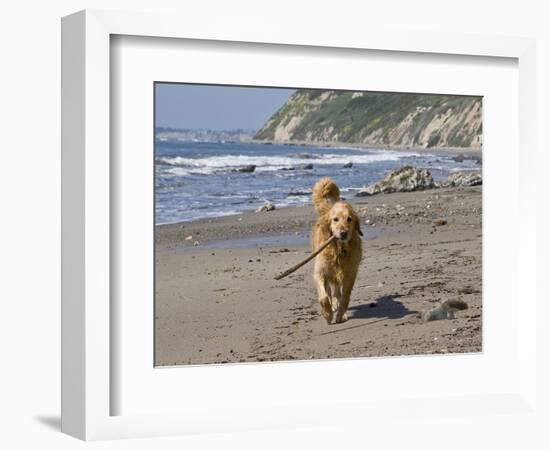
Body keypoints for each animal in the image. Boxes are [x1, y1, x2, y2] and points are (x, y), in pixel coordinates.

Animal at [312, 178, 364, 324]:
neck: (339, 250)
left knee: (337, 292)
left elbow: (345, 297)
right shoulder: (320, 272)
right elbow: (324, 297)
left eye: (349, 219)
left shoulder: (350, 274)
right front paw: (327, 314)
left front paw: (341, 314)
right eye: (335, 219)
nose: (343, 233)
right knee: (330, 291)